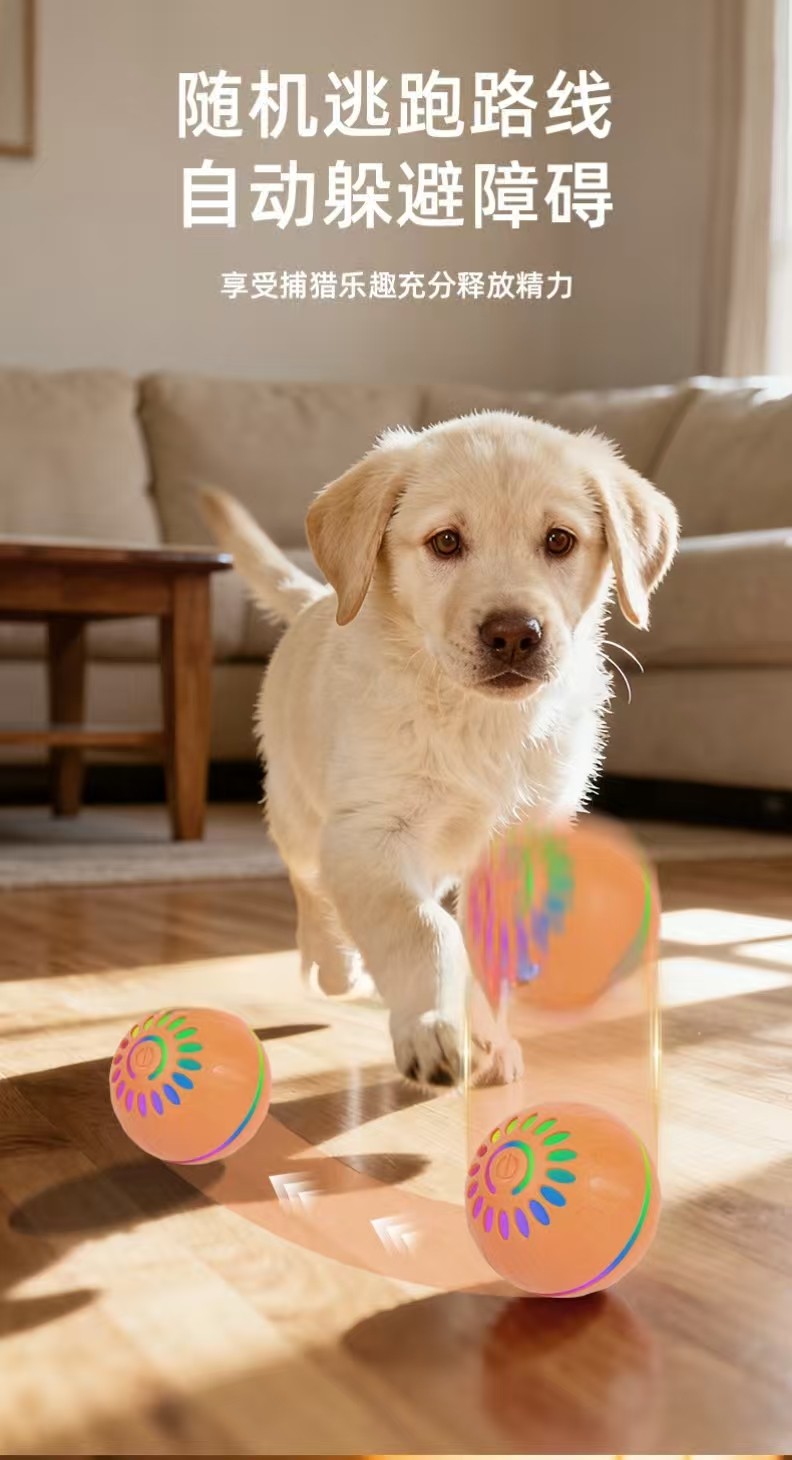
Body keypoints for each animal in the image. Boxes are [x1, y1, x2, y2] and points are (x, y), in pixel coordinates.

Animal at [202, 410, 678, 1087]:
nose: (513, 635)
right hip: (298, 809)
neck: (477, 719)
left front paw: (487, 1036)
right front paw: (432, 1026)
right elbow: (421, 929)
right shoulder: (369, 832)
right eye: (446, 543)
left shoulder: (518, 846)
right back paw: (334, 961)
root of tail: (320, 598)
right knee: (309, 882)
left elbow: (483, 944)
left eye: (559, 541)